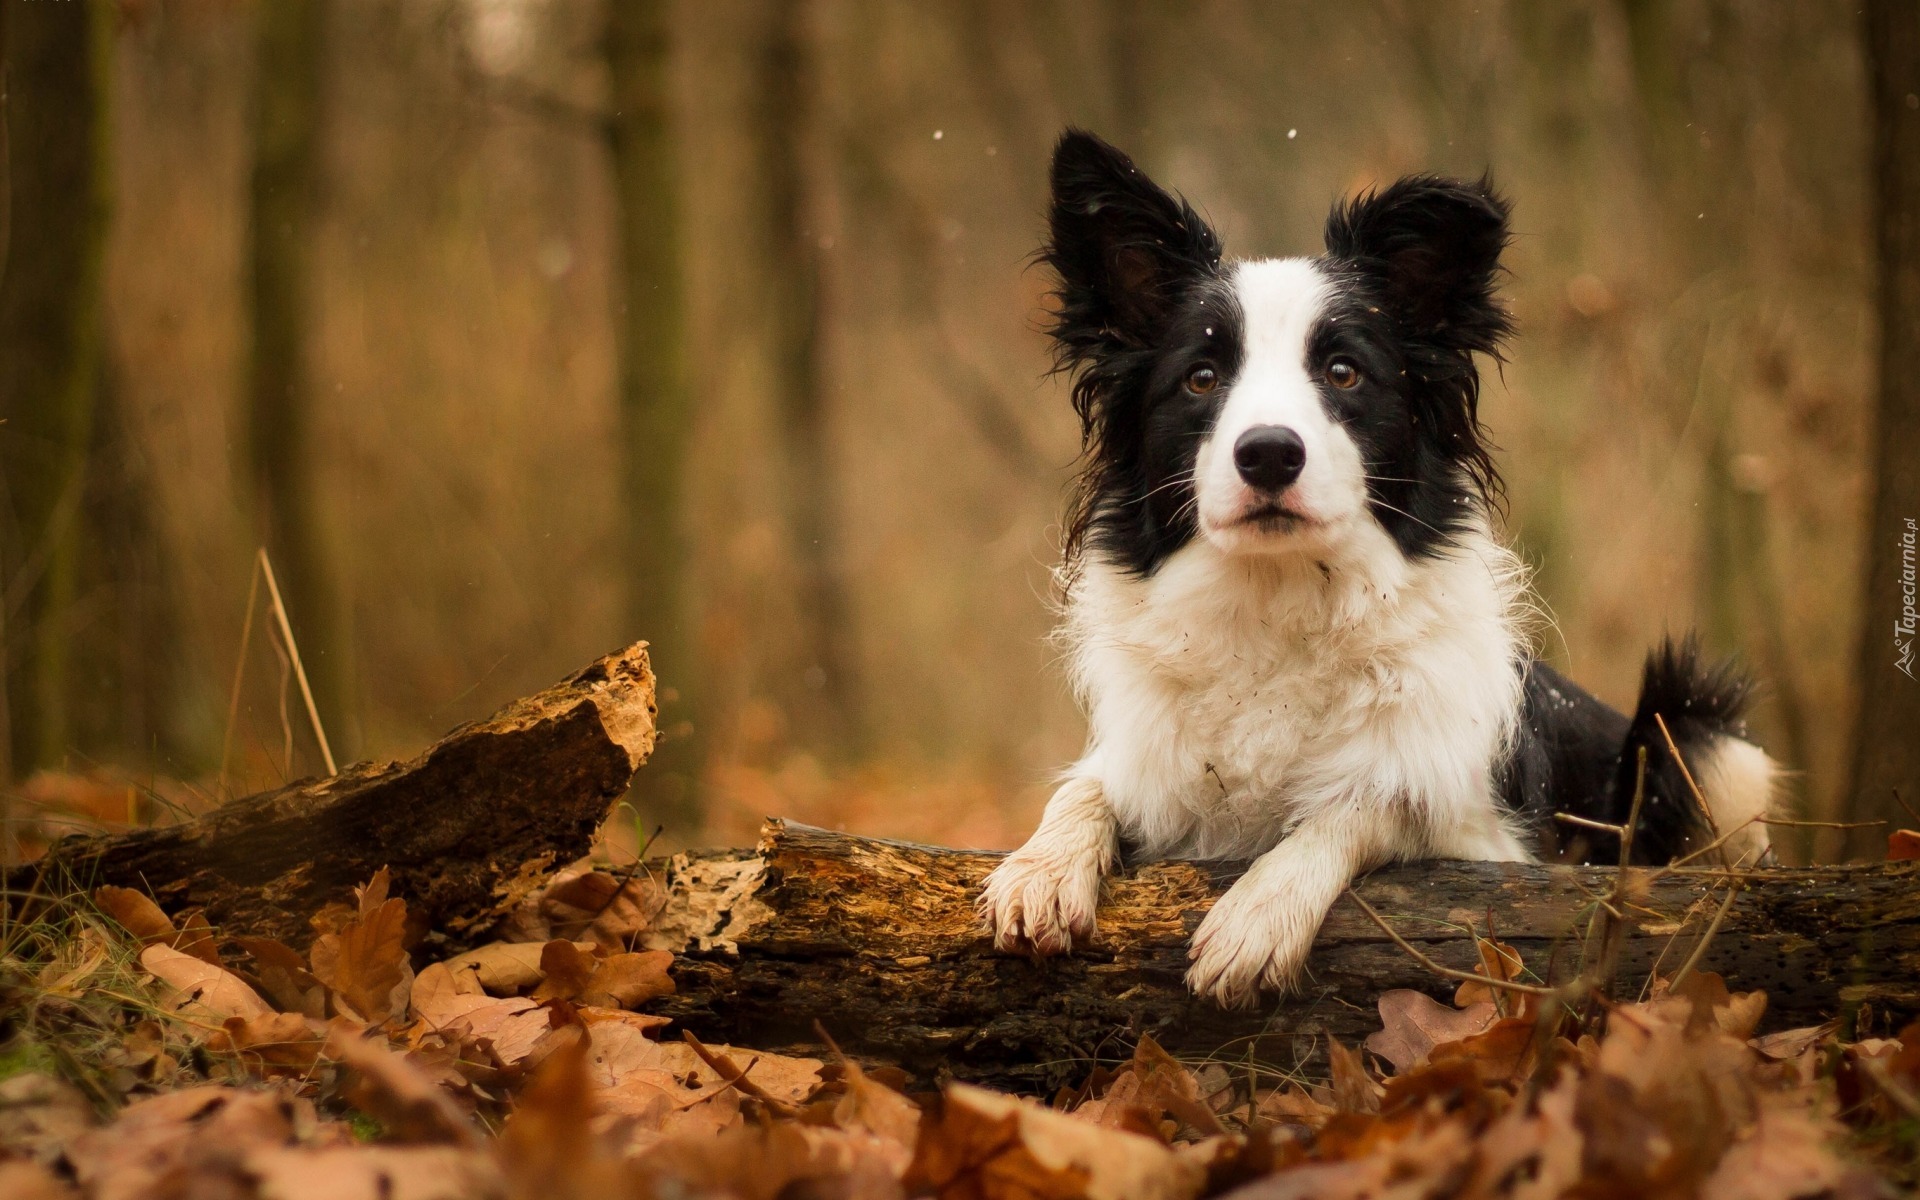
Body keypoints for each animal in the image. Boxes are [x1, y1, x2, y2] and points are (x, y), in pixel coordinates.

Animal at [983, 130, 1774, 1006]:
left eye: (1343, 373)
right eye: (1202, 378)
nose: (1268, 453)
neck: (1282, 599)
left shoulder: (1488, 840)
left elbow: (1371, 801)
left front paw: (1260, 914)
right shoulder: (1146, 760)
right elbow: (1086, 784)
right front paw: (1039, 870)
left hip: (1703, 737)